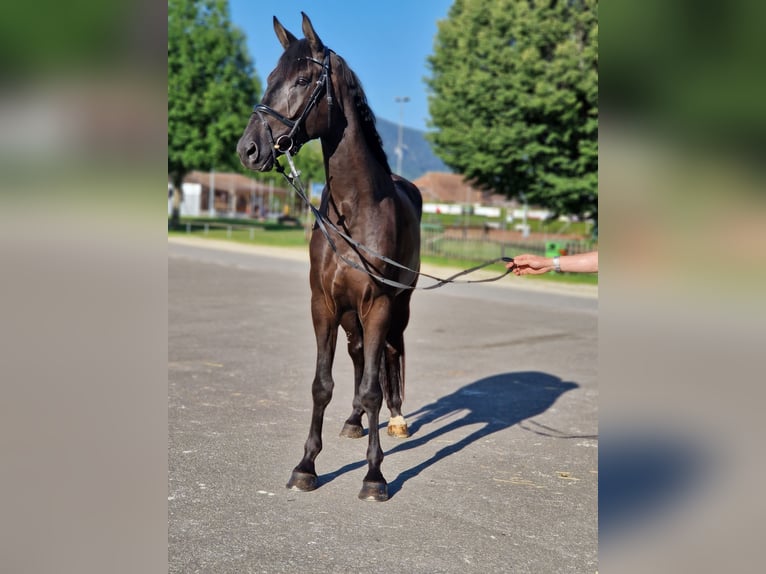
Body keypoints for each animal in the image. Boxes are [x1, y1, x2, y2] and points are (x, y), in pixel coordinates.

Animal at [237, 11, 424, 502]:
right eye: (270, 78)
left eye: (303, 79)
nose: (249, 149)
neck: (355, 210)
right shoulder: (322, 304)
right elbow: (323, 384)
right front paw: (306, 466)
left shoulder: (378, 304)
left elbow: (375, 385)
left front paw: (375, 476)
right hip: (349, 312)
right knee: (359, 356)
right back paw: (354, 420)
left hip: (399, 305)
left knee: (391, 354)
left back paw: (397, 419)